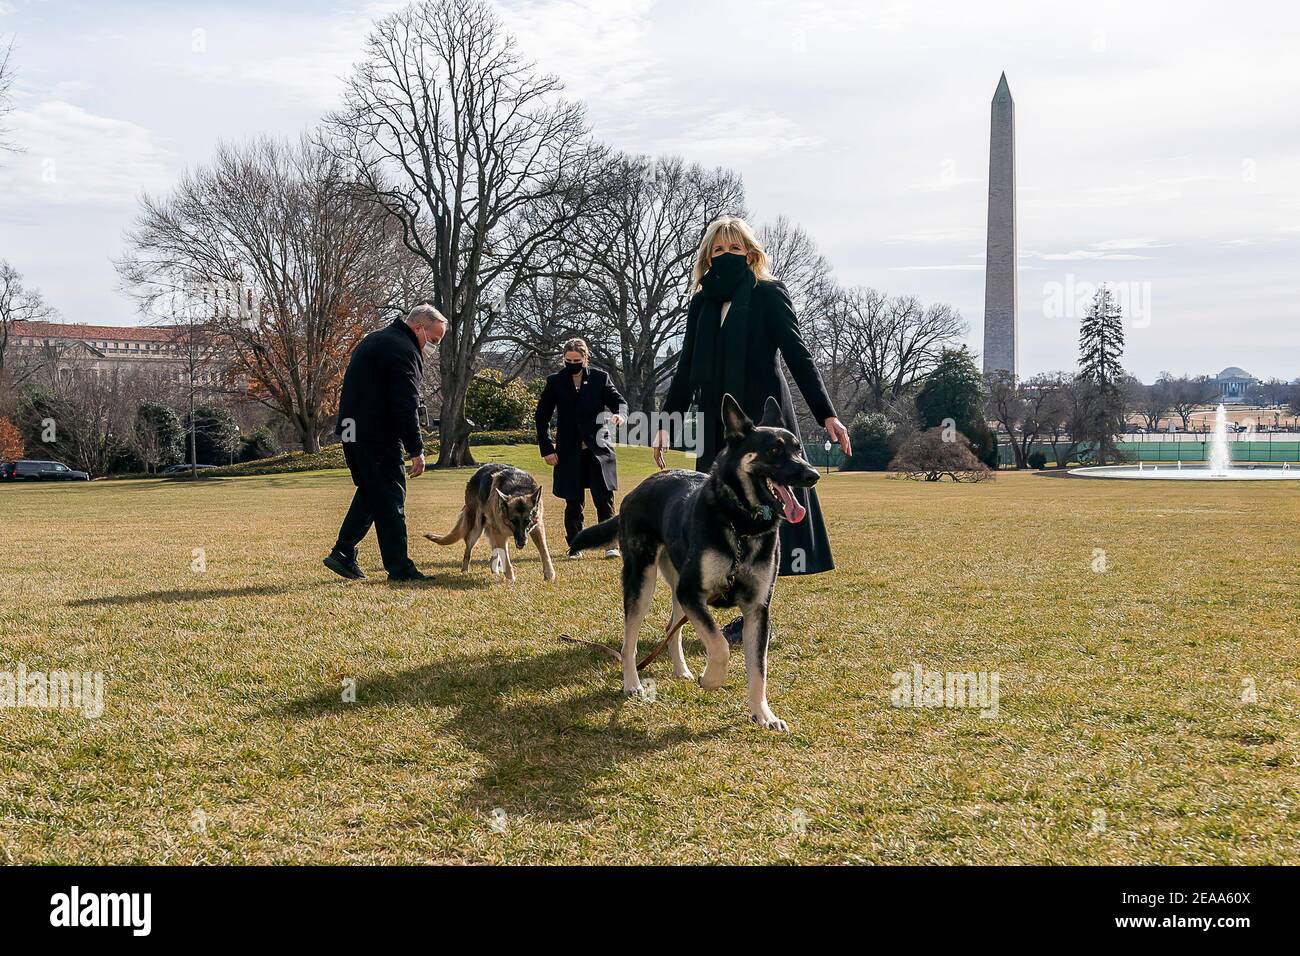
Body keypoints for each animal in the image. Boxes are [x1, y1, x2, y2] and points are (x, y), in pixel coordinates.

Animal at [421, 463, 553, 582]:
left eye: (527, 521)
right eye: (513, 521)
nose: (521, 542)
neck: (518, 489)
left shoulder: (537, 528)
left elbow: (544, 551)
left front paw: (549, 574)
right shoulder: (500, 534)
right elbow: (506, 558)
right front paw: (510, 578)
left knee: (494, 552)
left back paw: (494, 569)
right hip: (476, 530)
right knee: (468, 551)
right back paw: (465, 571)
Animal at [572, 392, 816, 728]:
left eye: (798, 449)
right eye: (775, 450)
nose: (812, 475)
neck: (741, 522)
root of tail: (638, 489)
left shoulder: (757, 608)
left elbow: (759, 668)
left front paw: (763, 714)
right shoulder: (693, 593)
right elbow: (720, 645)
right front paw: (712, 679)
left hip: (676, 584)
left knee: (670, 627)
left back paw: (681, 670)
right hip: (642, 582)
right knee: (628, 642)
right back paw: (632, 683)